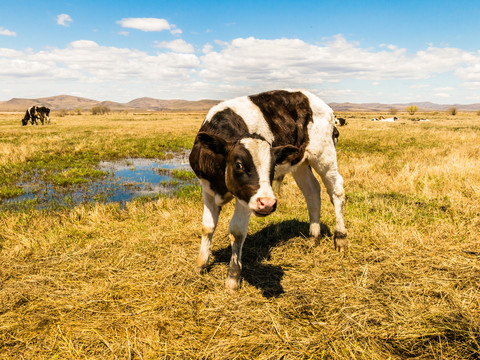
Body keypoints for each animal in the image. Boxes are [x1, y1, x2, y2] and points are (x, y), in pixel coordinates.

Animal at [189, 88, 346, 292]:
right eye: (239, 164)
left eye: (272, 167)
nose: (268, 203)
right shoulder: (207, 188)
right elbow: (207, 226)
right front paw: (201, 265)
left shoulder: (246, 198)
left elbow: (237, 231)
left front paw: (232, 278)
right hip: (301, 163)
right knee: (312, 192)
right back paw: (313, 237)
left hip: (324, 156)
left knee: (336, 190)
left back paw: (340, 237)